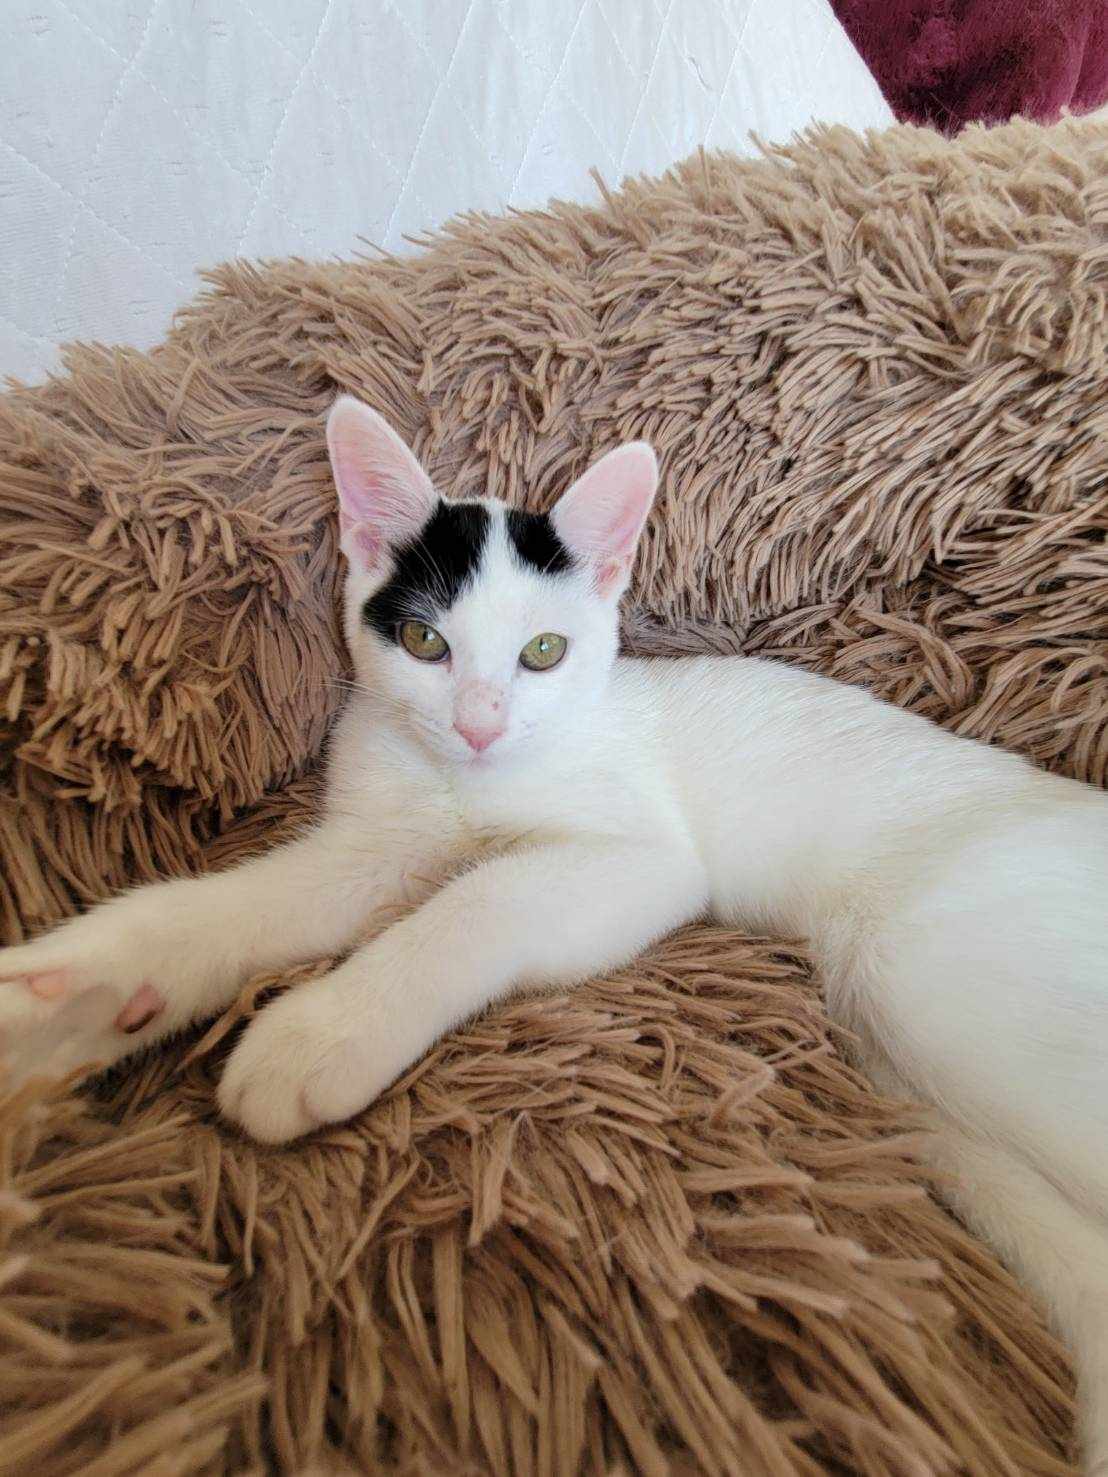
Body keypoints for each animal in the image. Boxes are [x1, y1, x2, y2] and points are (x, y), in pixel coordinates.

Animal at [2, 395, 1107, 1468]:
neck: (468, 782)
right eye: (426, 644)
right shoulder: (377, 839)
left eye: (545, 653)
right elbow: (240, 904)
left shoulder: (644, 860)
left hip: (916, 977)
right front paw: (75, 994)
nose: (480, 724)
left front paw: (319, 1034)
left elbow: (481, 898)